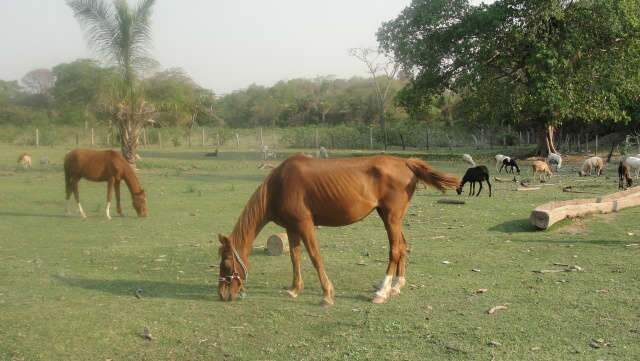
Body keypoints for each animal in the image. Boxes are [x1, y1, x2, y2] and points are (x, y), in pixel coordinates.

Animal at [220, 154, 460, 304]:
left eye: (226, 264)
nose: (222, 293)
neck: (279, 185)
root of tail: (405, 162)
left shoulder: (306, 225)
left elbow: (315, 257)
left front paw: (327, 294)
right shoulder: (292, 228)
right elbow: (295, 258)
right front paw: (295, 289)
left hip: (391, 218)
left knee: (395, 250)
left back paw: (383, 292)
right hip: (389, 217)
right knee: (403, 246)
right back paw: (396, 285)